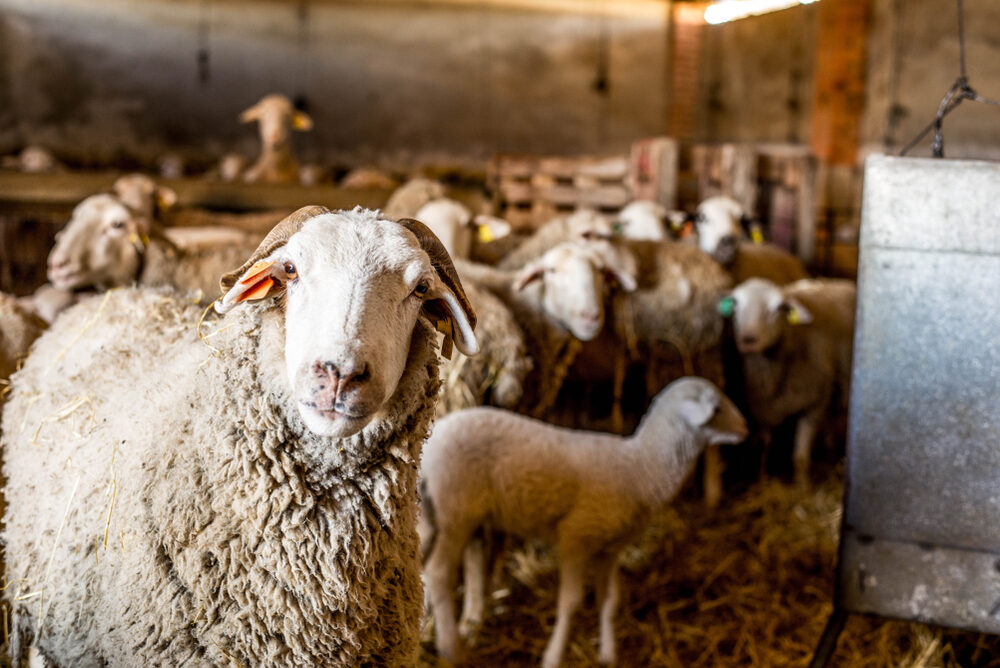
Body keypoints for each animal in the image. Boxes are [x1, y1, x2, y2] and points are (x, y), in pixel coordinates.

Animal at [420, 377, 748, 668]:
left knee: (441, 565)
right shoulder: (576, 537)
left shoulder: (610, 548)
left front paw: (608, 655)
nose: (746, 428)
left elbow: (609, 600)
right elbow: (571, 602)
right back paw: (452, 649)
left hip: (449, 513)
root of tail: (433, 441)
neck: (641, 466)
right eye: (717, 407)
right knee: (438, 573)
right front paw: (553, 657)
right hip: (453, 509)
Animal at [724, 277, 856, 485]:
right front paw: (762, 480)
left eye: (776, 309)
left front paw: (802, 487)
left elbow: (800, 458)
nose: (748, 339)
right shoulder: (763, 410)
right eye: (736, 305)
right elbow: (763, 448)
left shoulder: (813, 407)